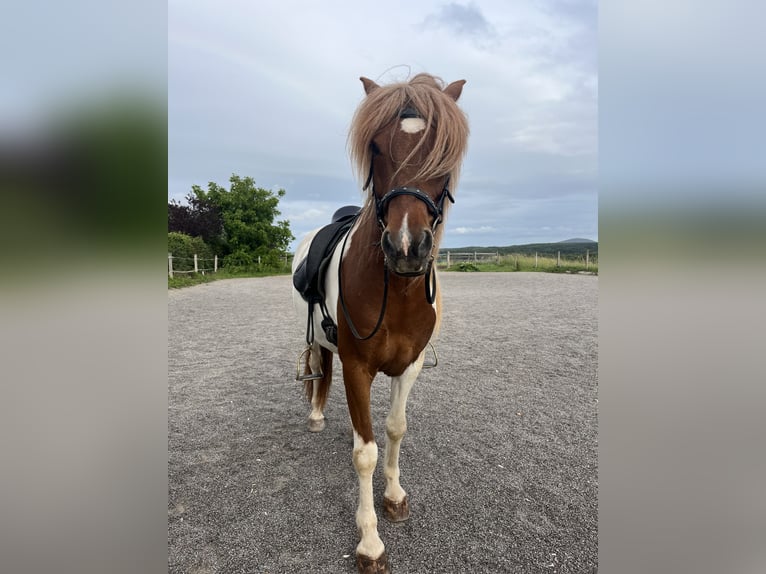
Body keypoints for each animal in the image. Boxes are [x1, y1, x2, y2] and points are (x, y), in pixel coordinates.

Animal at [291, 73, 469, 574]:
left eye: (445, 150)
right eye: (374, 146)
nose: (406, 247)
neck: (398, 292)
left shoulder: (408, 366)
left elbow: (393, 429)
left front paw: (393, 497)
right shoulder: (357, 368)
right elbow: (365, 453)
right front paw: (370, 542)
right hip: (320, 341)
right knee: (320, 369)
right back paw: (316, 416)